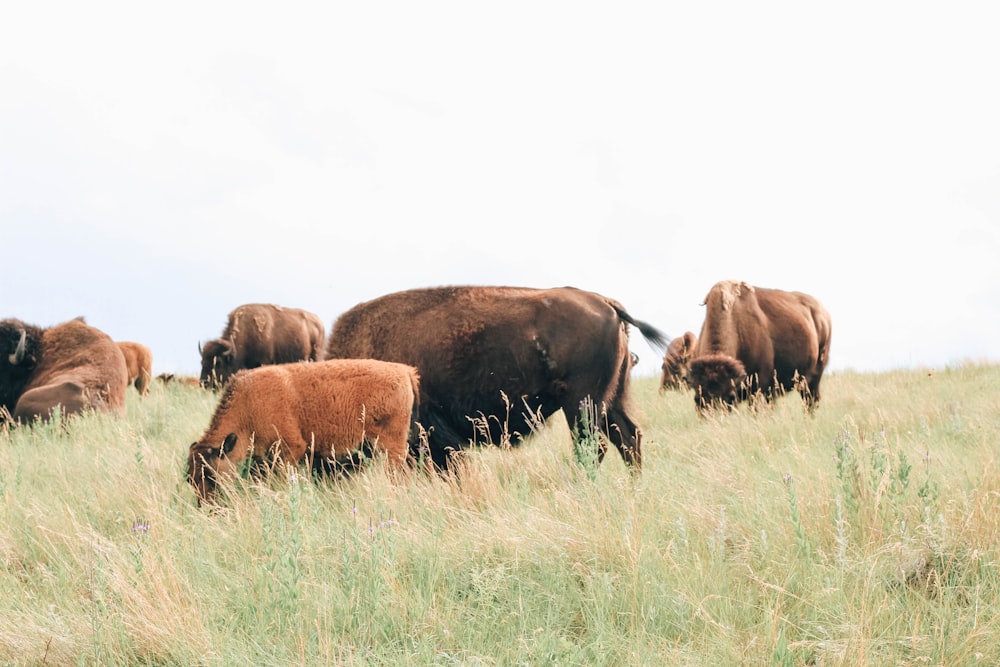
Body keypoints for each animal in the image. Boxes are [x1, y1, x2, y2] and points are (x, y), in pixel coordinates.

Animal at [187, 358, 418, 504]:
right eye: (190, 479)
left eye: (210, 475)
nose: (207, 507)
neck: (248, 404)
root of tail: (404, 371)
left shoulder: (292, 449)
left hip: (391, 445)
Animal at [684, 282, 832, 412]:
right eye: (697, 399)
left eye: (731, 397)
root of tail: (823, 314)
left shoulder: (760, 386)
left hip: (813, 378)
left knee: (810, 400)